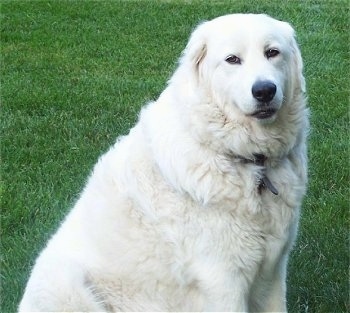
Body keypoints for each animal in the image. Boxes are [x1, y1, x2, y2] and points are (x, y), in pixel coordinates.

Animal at [19, 13, 308, 310]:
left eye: (272, 52)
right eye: (232, 59)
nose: (264, 90)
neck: (247, 160)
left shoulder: (273, 271)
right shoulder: (222, 280)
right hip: (68, 285)